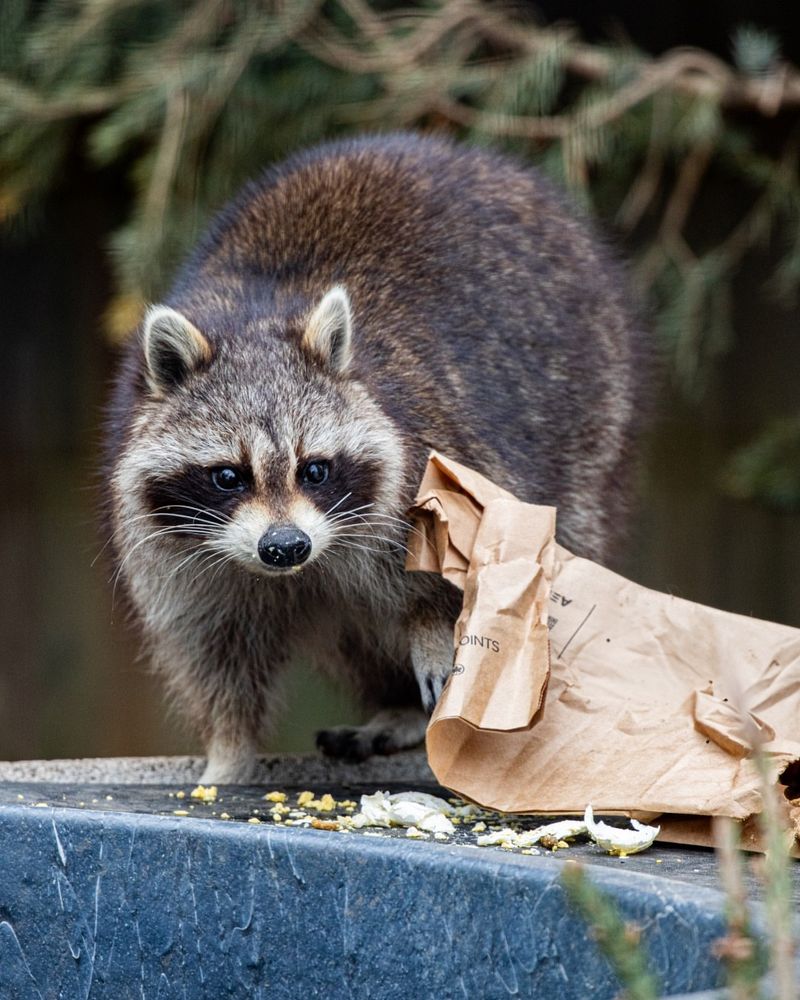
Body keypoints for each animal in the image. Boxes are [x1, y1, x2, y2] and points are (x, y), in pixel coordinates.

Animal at [106, 132, 649, 783]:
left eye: (313, 468)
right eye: (228, 476)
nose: (285, 547)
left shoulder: (440, 451)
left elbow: (472, 568)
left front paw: (433, 626)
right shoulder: (180, 561)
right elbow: (214, 655)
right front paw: (228, 753)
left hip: (595, 410)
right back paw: (395, 706)